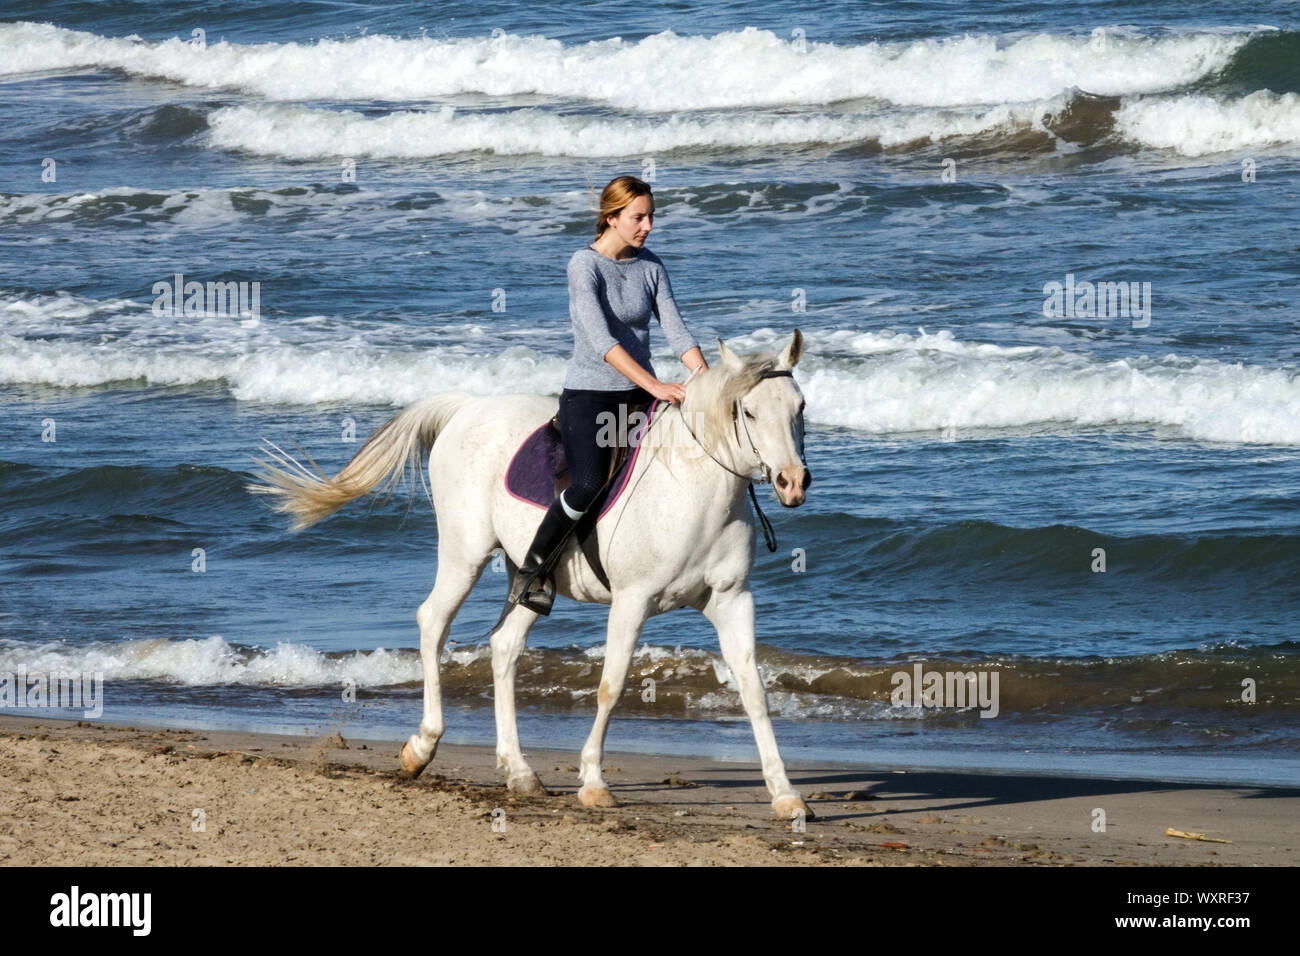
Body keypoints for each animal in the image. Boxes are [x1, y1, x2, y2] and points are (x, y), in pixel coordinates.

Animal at [244, 332, 811, 816]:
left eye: (800, 407)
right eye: (749, 411)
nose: (793, 482)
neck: (694, 486)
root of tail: (466, 407)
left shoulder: (731, 600)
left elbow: (754, 691)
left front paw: (786, 795)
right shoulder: (633, 601)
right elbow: (611, 686)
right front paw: (593, 782)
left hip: (527, 573)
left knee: (504, 646)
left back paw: (519, 772)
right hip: (464, 554)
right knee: (433, 623)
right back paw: (421, 746)